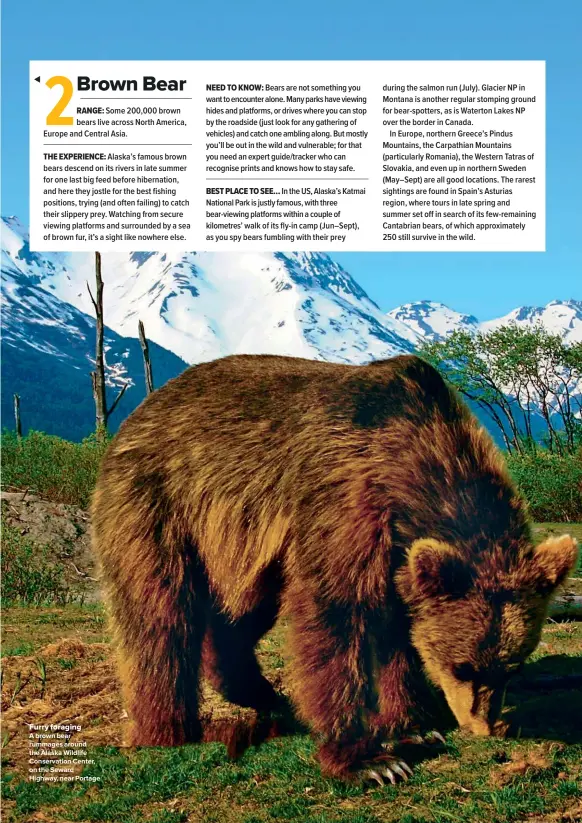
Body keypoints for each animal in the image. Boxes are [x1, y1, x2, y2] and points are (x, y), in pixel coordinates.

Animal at [91, 354, 580, 780]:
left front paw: (414, 724)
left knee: (241, 613)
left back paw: (259, 691)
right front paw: (370, 760)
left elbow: (397, 634)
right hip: (158, 504)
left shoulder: (396, 557)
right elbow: (336, 619)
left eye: (511, 667)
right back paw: (171, 730)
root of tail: (137, 415)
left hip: (244, 551)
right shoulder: (344, 504)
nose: (482, 728)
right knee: (161, 616)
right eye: (462, 666)